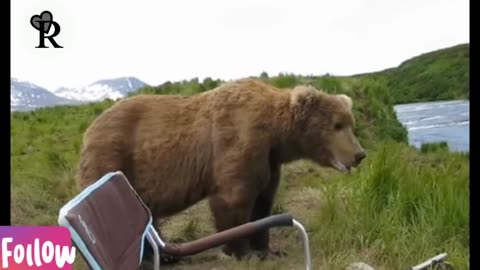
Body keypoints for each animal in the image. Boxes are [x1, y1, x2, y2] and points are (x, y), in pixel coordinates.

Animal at [76, 77, 368, 262]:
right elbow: (233, 199)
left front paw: (267, 249)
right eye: (337, 125)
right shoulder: (239, 142)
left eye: (350, 123)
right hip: (113, 157)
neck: (276, 134)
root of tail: (89, 129)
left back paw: (164, 255)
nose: (359, 154)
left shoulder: (269, 160)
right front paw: (241, 252)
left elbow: (264, 201)